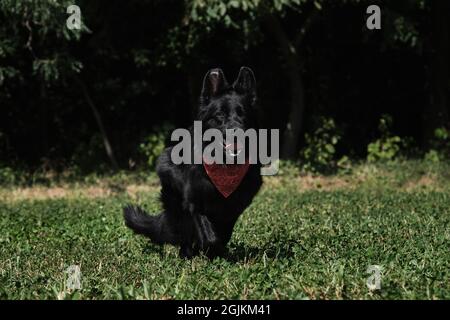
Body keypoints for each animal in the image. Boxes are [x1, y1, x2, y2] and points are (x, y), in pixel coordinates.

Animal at [124, 67, 264, 258]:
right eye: (220, 115)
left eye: (243, 114)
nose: (237, 133)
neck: (224, 166)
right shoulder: (194, 203)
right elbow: (209, 236)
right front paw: (209, 250)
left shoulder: (234, 208)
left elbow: (223, 233)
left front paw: (217, 252)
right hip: (176, 203)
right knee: (185, 235)